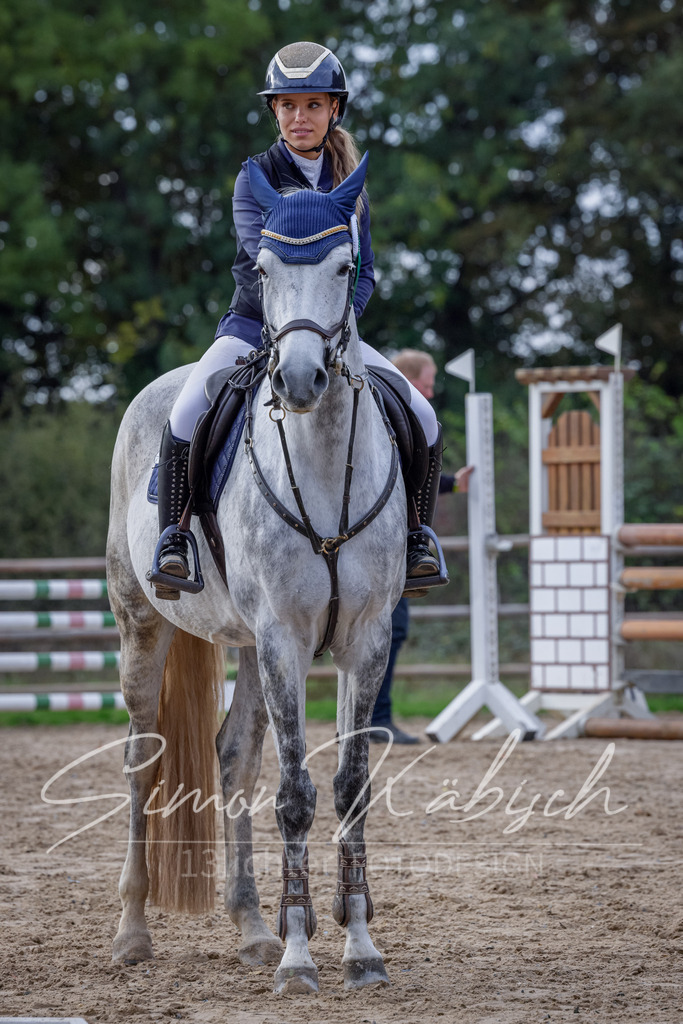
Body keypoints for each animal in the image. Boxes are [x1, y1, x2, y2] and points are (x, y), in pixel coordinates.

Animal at [106, 153, 407, 994]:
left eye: (343, 267)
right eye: (263, 269)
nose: (300, 381)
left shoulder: (363, 639)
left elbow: (348, 785)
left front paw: (357, 946)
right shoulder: (283, 638)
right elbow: (297, 796)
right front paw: (303, 957)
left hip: (242, 642)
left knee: (233, 756)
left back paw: (249, 928)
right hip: (145, 627)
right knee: (144, 759)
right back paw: (132, 932)